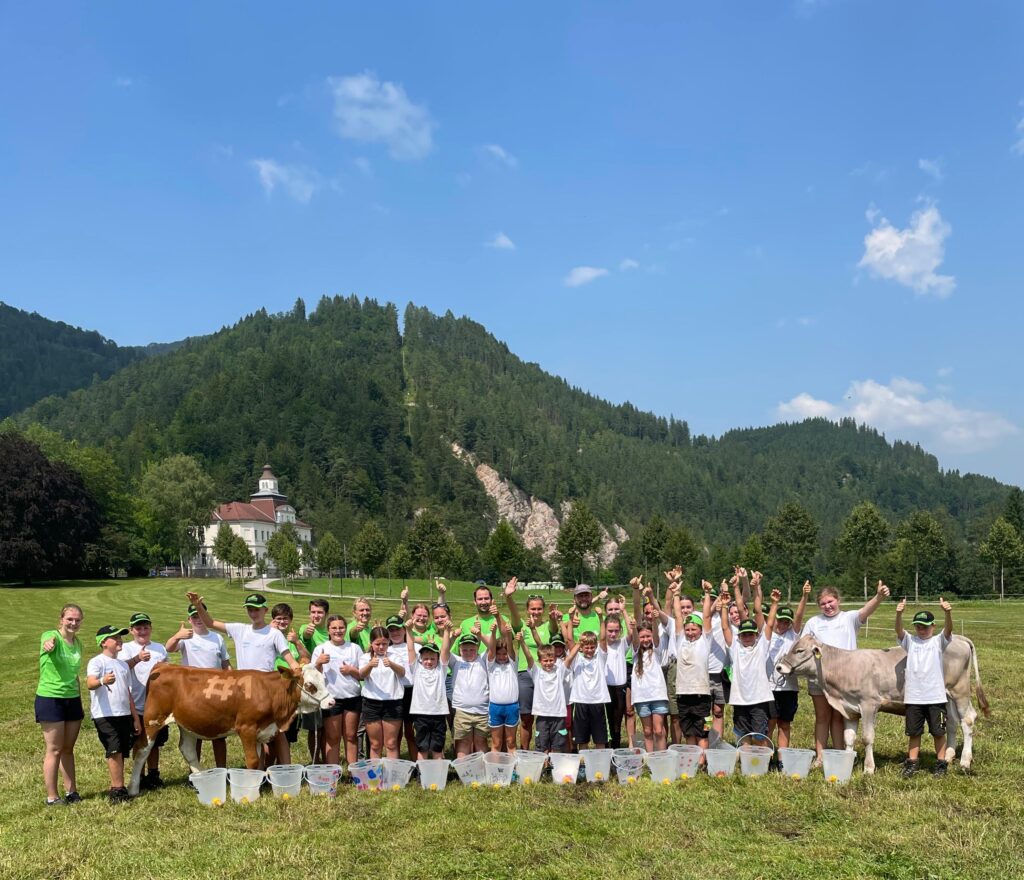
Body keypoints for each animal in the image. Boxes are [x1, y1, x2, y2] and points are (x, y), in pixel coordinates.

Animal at [125, 659, 329, 799]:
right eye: (310, 685)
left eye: (324, 680)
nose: (331, 702)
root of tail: (164, 666)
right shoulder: (246, 728)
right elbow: (253, 760)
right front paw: (251, 788)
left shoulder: (260, 731)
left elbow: (259, 760)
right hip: (152, 721)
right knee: (142, 751)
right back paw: (133, 789)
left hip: (187, 723)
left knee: (187, 749)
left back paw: (202, 780)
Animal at [774, 635, 991, 774]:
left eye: (799, 650)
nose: (779, 667)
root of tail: (957, 637)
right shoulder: (850, 710)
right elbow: (849, 738)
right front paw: (846, 763)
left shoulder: (869, 704)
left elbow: (867, 738)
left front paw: (869, 768)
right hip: (948, 698)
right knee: (954, 722)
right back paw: (948, 756)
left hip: (960, 690)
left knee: (968, 720)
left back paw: (965, 761)